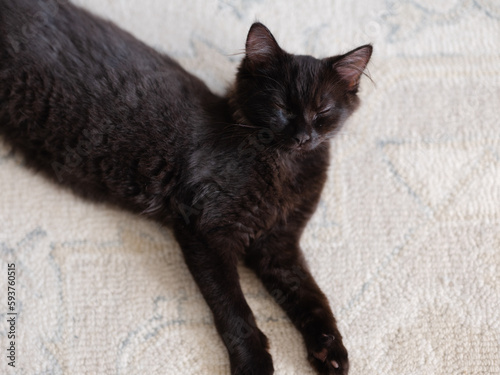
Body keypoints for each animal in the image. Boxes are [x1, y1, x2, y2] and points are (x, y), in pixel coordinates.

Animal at [0, 1, 372, 374]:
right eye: (281, 108)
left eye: (322, 111)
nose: (303, 137)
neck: (283, 167)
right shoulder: (206, 231)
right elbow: (234, 308)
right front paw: (254, 363)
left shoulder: (279, 247)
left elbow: (312, 296)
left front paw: (330, 351)